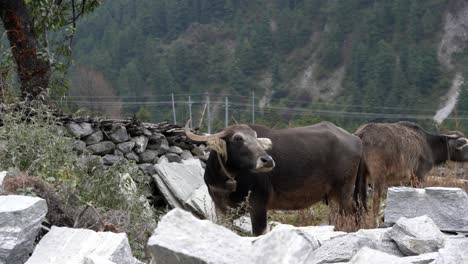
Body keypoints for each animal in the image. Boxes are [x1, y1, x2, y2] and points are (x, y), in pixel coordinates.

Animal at [185, 121, 364, 235]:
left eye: (256, 137)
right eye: (238, 138)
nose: (268, 160)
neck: (229, 179)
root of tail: (355, 138)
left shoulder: (258, 205)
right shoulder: (220, 208)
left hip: (344, 192)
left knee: (354, 215)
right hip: (334, 197)